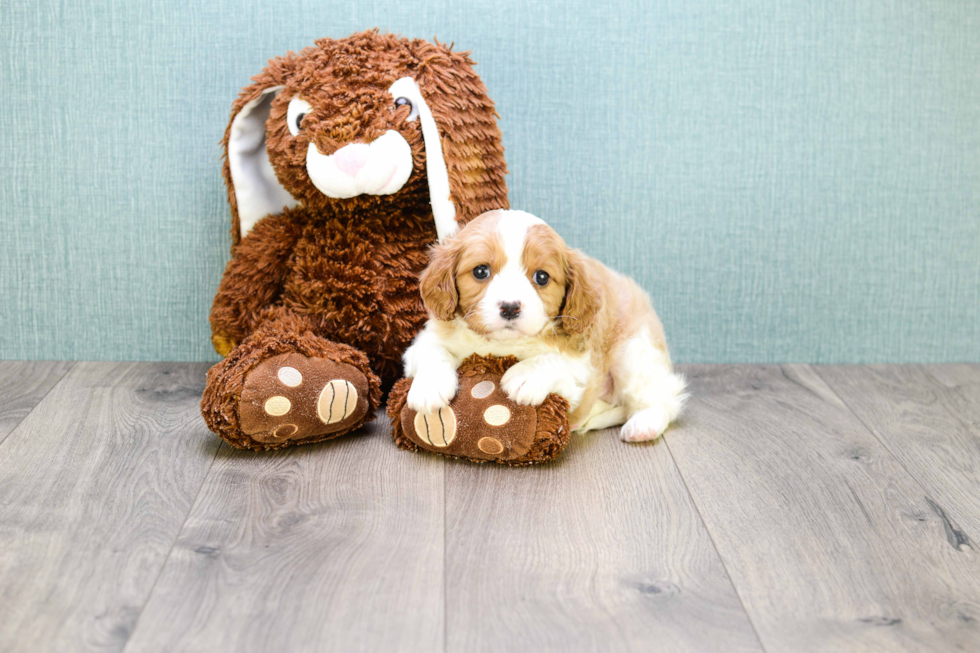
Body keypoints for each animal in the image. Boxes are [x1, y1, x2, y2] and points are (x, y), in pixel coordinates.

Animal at [402, 209, 684, 444]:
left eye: (542, 277)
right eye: (481, 271)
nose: (510, 307)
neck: (503, 345)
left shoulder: (582, 369)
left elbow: (556, 362)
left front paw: (525, 375)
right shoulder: (429, 337)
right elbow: (432, 351)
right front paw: (430, 386)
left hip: (634, 352)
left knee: (664, 396)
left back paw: (644, 424)